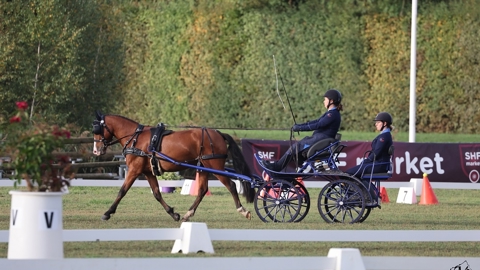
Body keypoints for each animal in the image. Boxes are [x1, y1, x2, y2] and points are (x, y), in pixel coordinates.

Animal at [90, 111, 255, 221]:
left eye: (97, 129)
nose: (96, 151)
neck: (135, 138)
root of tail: (218, 134)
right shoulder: (148, 172)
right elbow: (157, 193)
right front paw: (173, 213)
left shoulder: (134, 170)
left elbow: (122, 191)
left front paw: (107, 213)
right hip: (202, 167)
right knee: (202, 190)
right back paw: (188, 214)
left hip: (215, 167)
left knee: (231, 185)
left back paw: (242, 210)